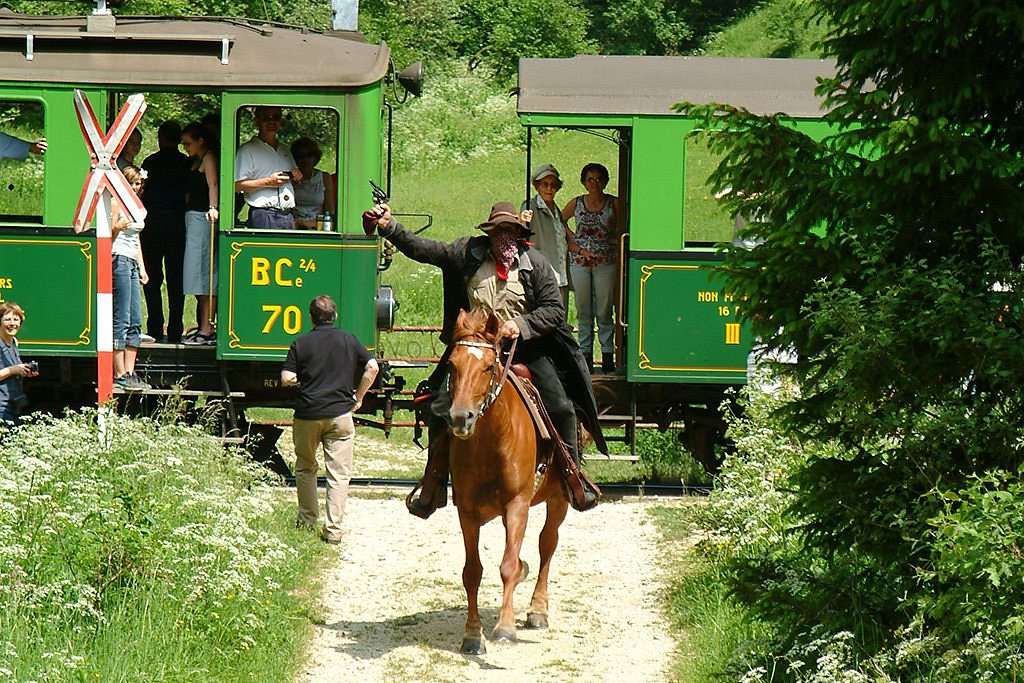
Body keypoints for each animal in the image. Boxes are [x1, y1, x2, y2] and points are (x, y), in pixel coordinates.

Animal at [446, 307, 573, 655]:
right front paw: (472, 634)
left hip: (559, 498)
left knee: (547, 543)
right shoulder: (467, 511)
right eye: (452, 365)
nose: (460, 417)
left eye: (488, 367)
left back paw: (538, 610)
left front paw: (505, 627)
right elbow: (472, 571)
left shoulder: (517, 506)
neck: (490, 441)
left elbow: (507, 566)